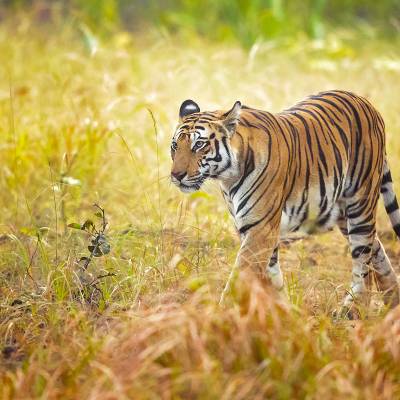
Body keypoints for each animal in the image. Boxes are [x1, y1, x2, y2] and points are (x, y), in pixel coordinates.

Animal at [170, 91, 400, 318]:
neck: (227, 177)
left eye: (199, 145)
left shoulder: (260, 228)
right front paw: (280, 312)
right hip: (343, 213)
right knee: (376, 248)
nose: (176, 175)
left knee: (363, 260)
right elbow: (270, 276)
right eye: (174, 146)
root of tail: (365, 101)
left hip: (360, 202)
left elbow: (241, 274)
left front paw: (221, 315)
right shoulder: (252, 228)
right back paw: (393, 300)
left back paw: (353, 309)